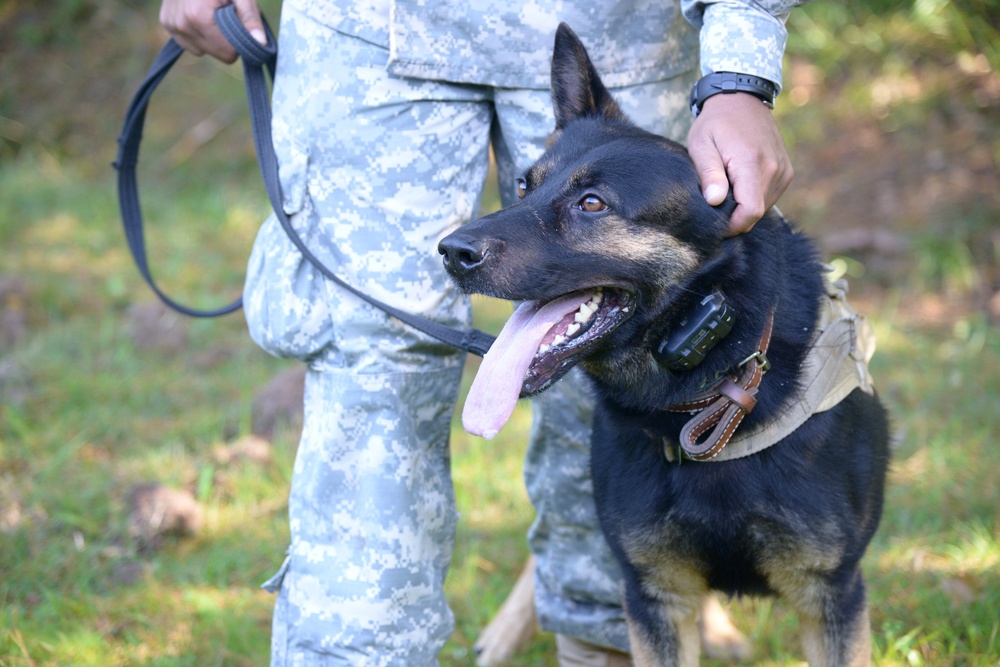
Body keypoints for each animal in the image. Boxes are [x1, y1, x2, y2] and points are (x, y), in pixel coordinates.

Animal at [440, 23, 892, 667]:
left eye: (592, 204)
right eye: (524, 185)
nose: (450, 252)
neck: (713, 392)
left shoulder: (830, 594)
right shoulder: (652, 593)